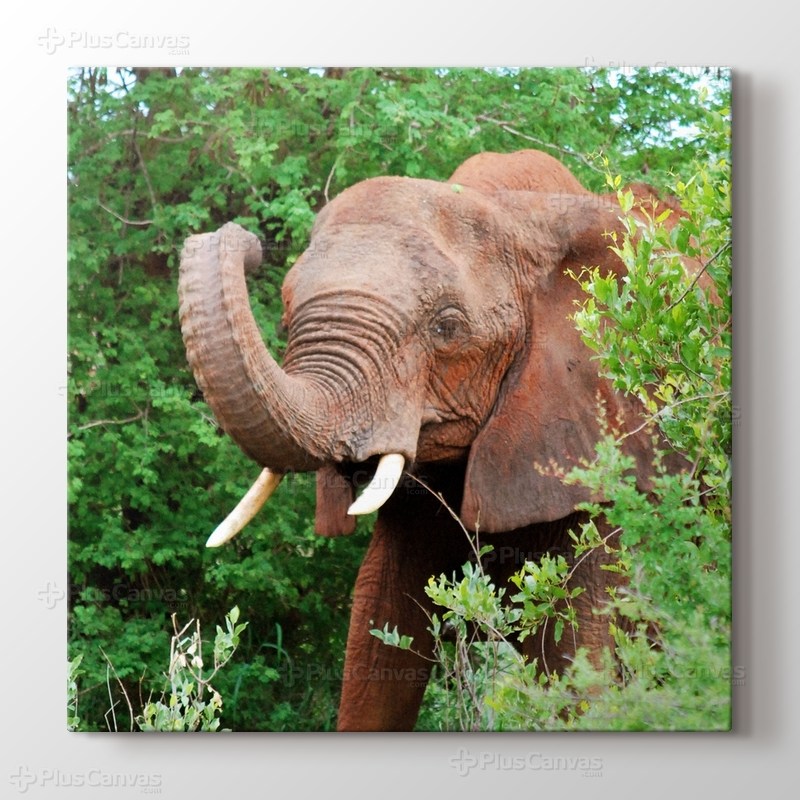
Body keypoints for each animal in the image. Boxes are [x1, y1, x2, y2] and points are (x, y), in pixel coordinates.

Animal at [178, 148, 691, 731]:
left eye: (447, 328)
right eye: (286, 317)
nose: (243, 241)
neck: (521, 213)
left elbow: (576, 659)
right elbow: (378, 634)